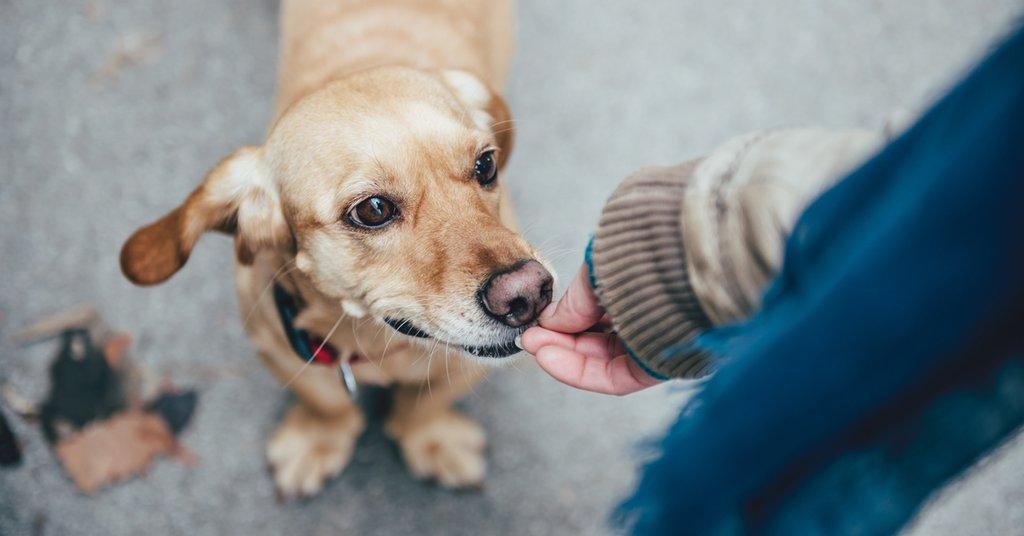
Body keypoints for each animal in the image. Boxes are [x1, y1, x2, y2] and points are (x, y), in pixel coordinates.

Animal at [118, 1, 552, 500]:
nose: (529, 293)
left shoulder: (465, 367)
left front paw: (431, 438)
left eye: (486, 164)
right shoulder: (279, 346)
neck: (375, 346)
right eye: (373, 209)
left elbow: (427, 401)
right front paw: (318, 439)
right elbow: (326, 402)